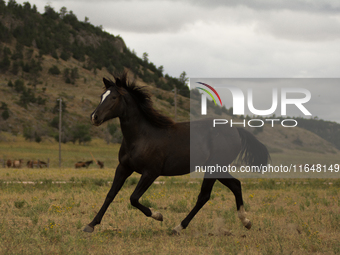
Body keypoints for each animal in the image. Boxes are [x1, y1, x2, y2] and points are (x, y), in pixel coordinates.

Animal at [83, 72, 270, 234]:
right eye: (102, 96)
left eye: (114, 97)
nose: (94, 117)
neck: (142, 136)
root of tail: (235, 130)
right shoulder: (123, 168)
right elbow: (110, 195)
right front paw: (91, 225)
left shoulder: (151, 172)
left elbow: (133, 198)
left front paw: (158, 216)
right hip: (218, 168)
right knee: (236, 185)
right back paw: (246, 221)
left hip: (213, 167)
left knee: (204, 196)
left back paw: (178, 227)